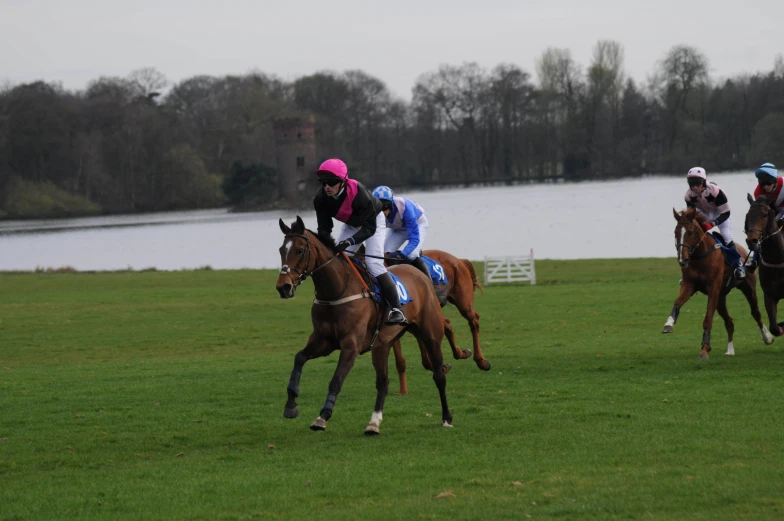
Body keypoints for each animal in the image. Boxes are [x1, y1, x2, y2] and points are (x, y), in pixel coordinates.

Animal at [278, 213, 456, 432]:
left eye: (300, 250)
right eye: (281, 250)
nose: (283, 287)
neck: (337, 291)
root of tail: (420, 273)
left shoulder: (351, 345)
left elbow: (336, 380)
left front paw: (323, 415)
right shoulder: (323, 341)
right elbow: (299, 358)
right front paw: (291, 404)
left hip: (430, 335)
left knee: (439, 375)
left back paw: (447, 417)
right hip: (382, 345)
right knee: (383, 382)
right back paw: (373, 423)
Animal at [388, 251, 490, 394]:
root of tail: (459, 260)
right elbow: (405, 360)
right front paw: (403, 391)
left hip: (463, 302)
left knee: (473, 320)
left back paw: (480, 360)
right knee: (448, 325)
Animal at [660, 207, 772, 358]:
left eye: (690, 232)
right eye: (676, 232)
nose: (682, 260)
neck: (700, 257)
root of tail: (743, 251)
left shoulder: (713, 288)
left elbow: (708, 318)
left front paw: (704, 348)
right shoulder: (689, 285)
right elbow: (678, 302)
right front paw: (669, 324)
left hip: (748, 288)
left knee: (756, 313)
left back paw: (767, 337)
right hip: (721, 297)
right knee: (729, 322)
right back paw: (730, 350)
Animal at [744, 193, 784, 336]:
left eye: (765, 215)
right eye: (747, 215)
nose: (751, 241)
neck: (777, 259)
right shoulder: (769, 295)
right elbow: (774, 328)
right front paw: (780, 327)